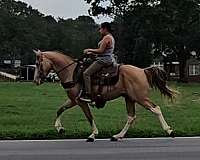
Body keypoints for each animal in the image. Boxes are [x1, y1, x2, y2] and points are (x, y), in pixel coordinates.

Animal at [33, 49, 178, 141]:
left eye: (38, 64)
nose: (36, 80)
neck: (72, 73)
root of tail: (143, 70)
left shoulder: (81, 101)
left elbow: (89, 117)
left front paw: (93, 135)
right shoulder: (74, 100)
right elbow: (60, 110)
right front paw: (59, 128)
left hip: (140, 98)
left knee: (155, 109)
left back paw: (169, 131)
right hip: (129, 98)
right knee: (131, 117)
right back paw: (117, 136)